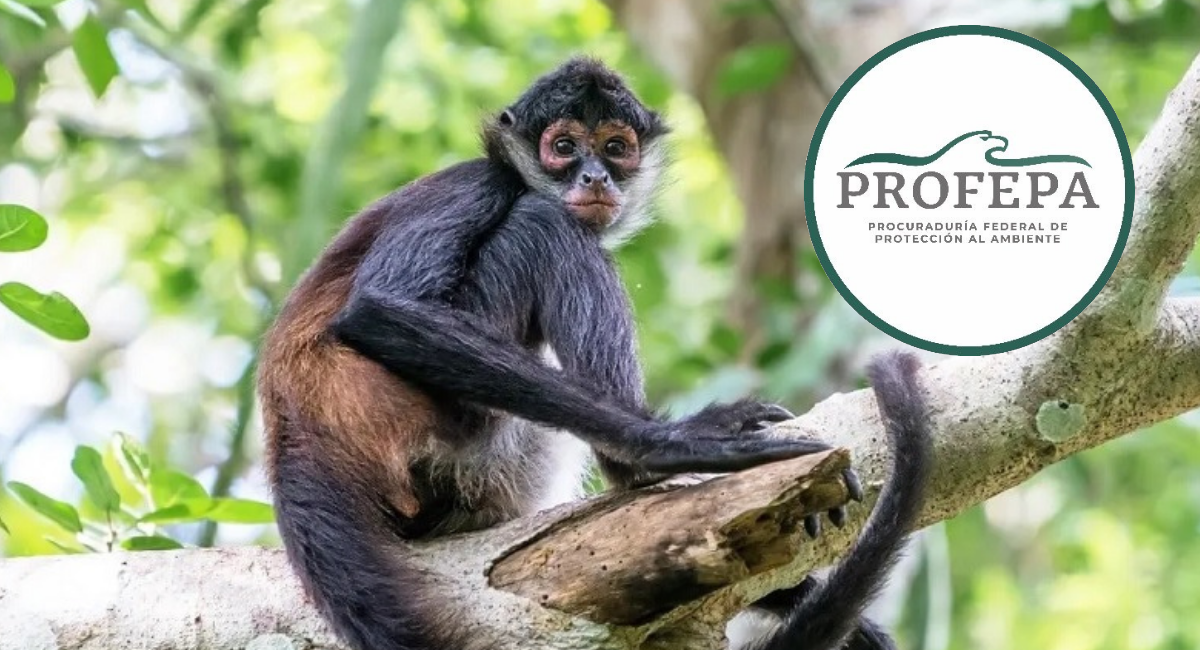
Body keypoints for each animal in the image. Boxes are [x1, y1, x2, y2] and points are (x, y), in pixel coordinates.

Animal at [258, 57, 931, 650]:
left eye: (614, 148)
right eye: (563, 146)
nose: (594, 178)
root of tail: (295, 429)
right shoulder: (477, 181)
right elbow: (377, 308)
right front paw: (672, 444)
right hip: (446, 426)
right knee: (542, 221)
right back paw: (635, 471)